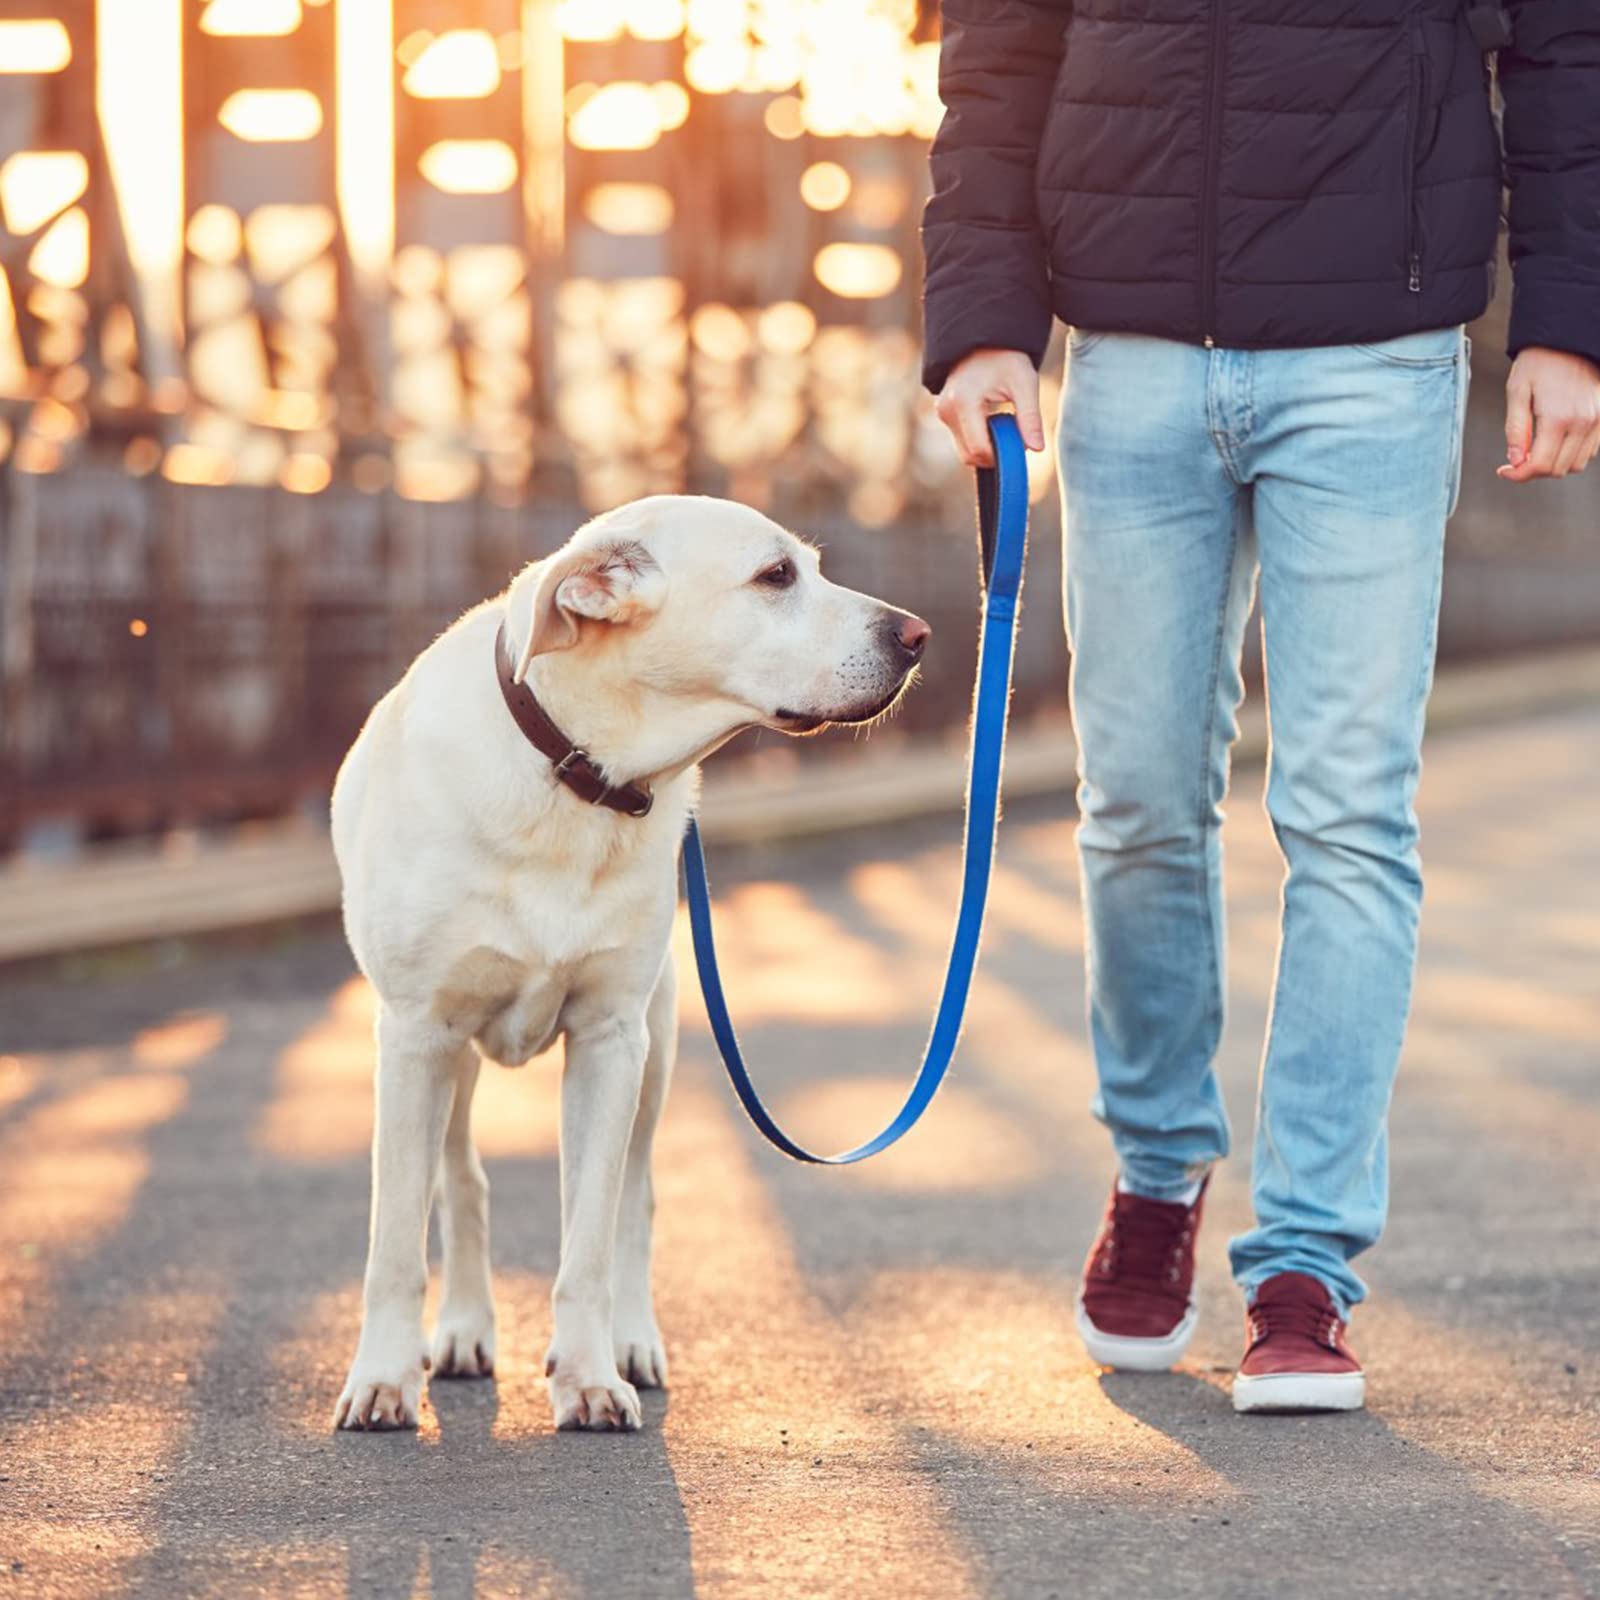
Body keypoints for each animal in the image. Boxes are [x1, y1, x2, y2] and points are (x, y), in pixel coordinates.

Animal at [332, 492, 934, 1433]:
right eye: (776, 576)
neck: (577, 775)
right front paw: (384, 1378)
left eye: (811, 567)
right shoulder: (416, 1037)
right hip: (451, 1061)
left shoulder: (611, 1040)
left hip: (656, 1047)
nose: (918, 634)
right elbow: (394, 1239)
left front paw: (586, 1376)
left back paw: (630, 1340)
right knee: (461, 1182)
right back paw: (465, 1328)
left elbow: (589, 1240)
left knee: (634, 1201)